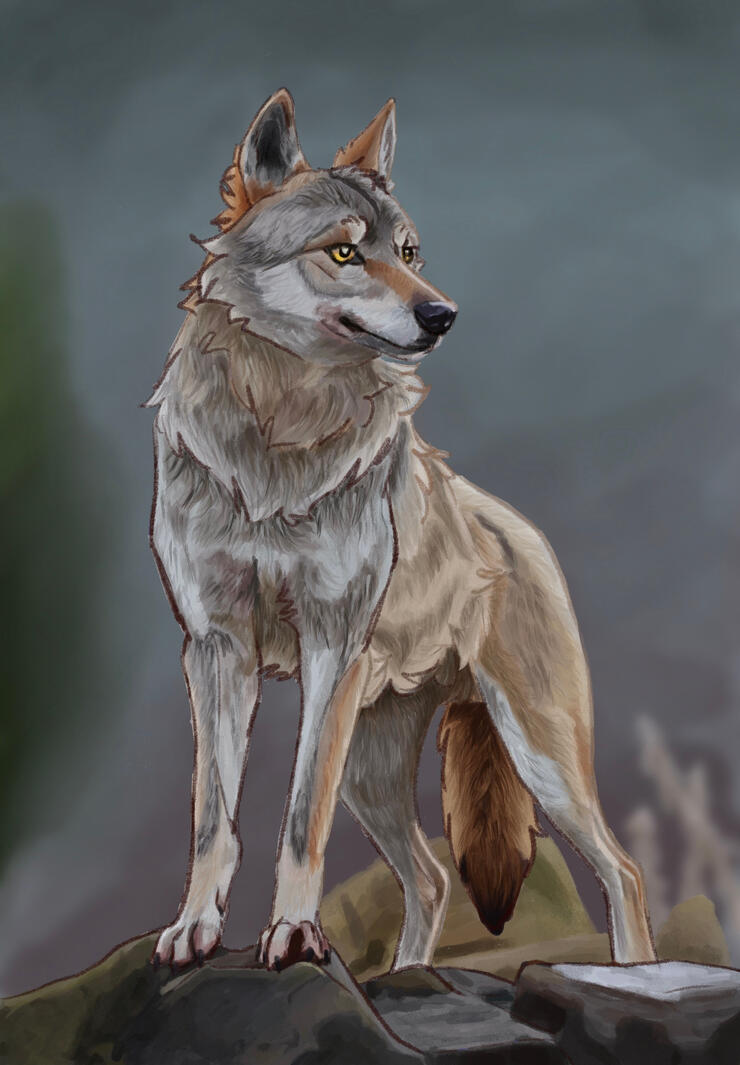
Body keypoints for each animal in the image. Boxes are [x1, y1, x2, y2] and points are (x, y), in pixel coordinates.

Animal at [148, 89, 656, 972]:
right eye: (345, 252)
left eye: (411, 251)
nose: (442, 313)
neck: (280, 440)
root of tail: (520, 527)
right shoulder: (214, 649)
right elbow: (214, 818)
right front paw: (193, 929)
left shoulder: (331, 646)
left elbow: (298, 822)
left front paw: (292, 933)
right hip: (372, 766)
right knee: (431, 877)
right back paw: (408, 975)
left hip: (538, 752)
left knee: (620, 869)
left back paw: (640, 971)